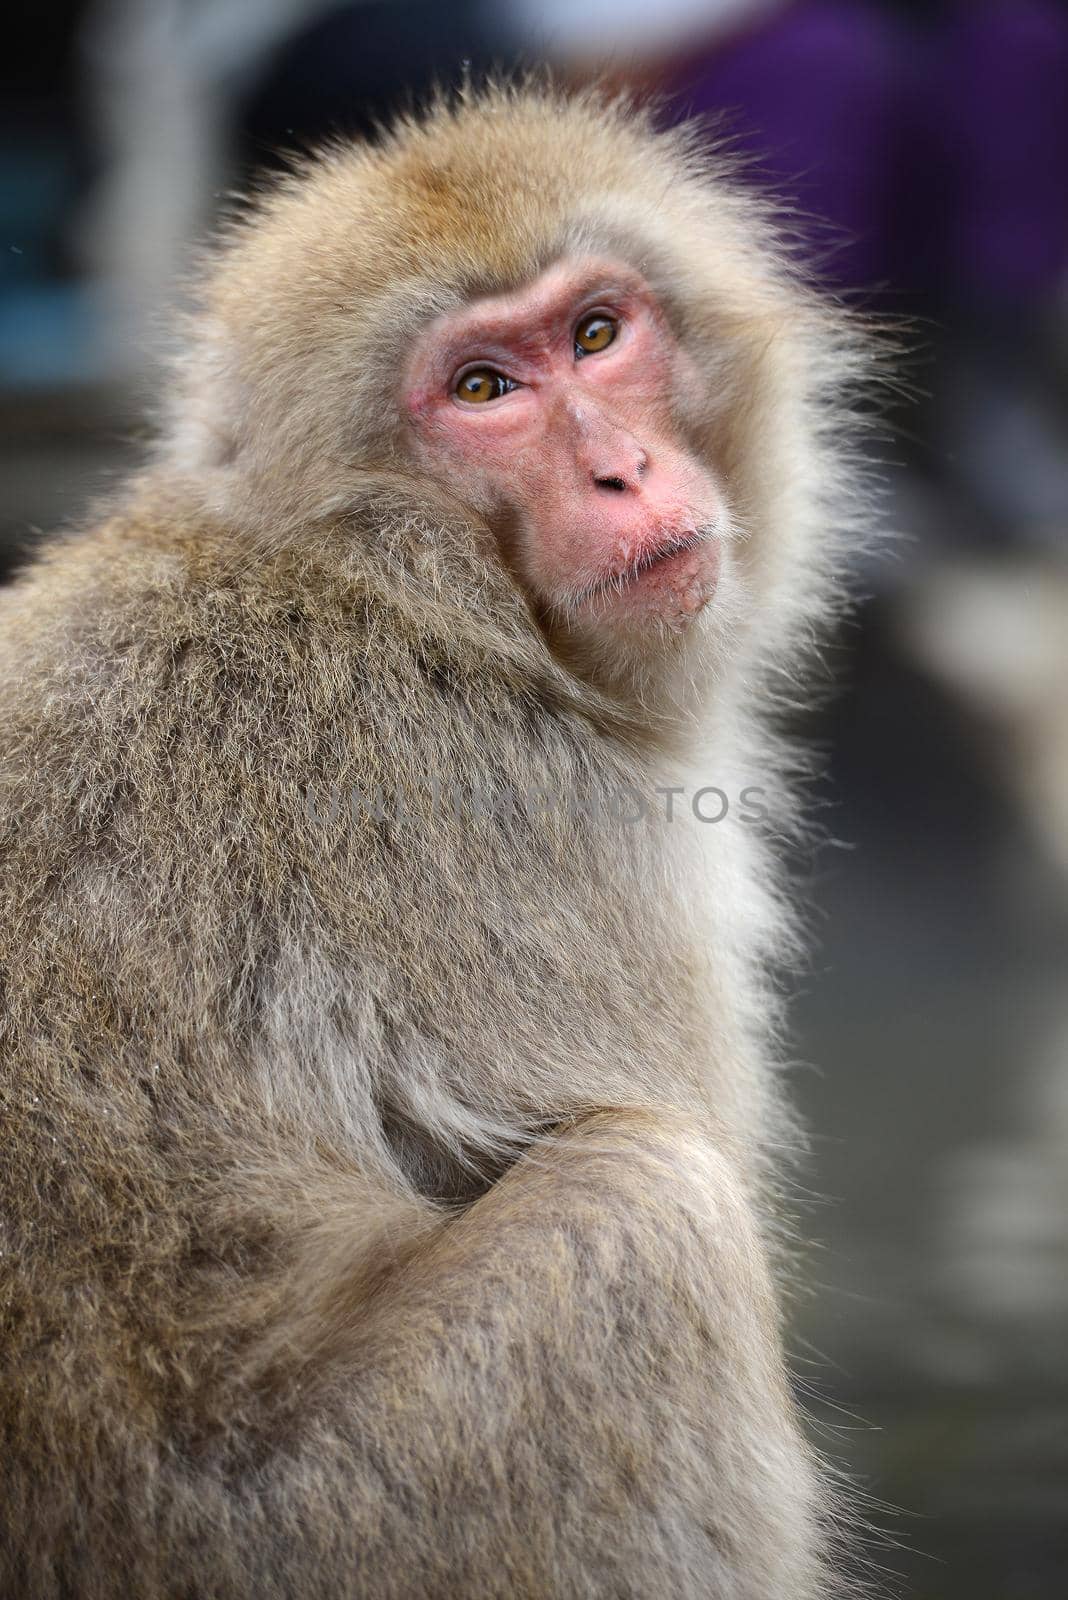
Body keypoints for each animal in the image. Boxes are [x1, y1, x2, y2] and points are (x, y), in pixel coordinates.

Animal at [0, 84, 869, 1600]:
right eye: (481, 392)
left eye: (598, 333)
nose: (621, 469)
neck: (389, 578)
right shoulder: (541, 814)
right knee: (650, 1215)